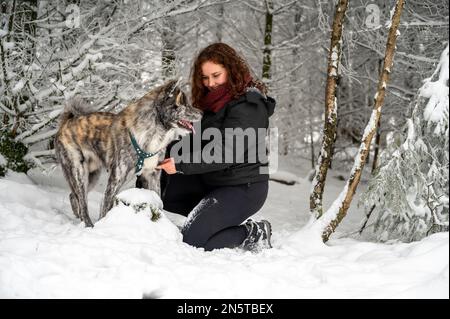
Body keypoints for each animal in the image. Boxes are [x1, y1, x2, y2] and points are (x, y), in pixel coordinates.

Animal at [54, 80, 204, 228]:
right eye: (184, 104)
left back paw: (78, 218)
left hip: (92, 176)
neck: (154, 131)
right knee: (81, 201)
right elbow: (106, 207)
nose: (202, 113)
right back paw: (88, 225)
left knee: (74, 196)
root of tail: (67, 122)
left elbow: (158, 202)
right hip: (79, 172)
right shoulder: (115, 179)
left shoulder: (152, 175)